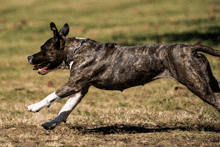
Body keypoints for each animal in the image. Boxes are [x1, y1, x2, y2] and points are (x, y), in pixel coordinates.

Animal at [27, 21, 220, 130]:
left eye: (43, 49)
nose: (28, 57)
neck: (75, 50)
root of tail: (190, 48)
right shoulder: (80, 89)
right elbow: (65, 109)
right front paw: (51, 123)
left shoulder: (74, 84)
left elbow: (52, 96)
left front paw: (34, 107)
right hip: (209, 82)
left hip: (197, 85)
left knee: (216, 102)